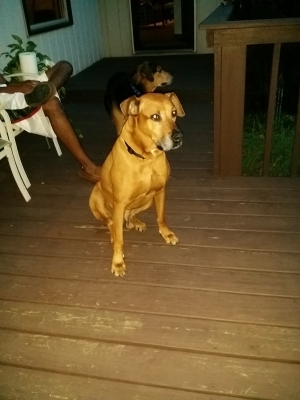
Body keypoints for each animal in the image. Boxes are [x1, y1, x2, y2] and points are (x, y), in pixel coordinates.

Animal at [89, 92, 184, 276]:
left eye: (174, 113)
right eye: (155, 117)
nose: (179, 137)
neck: (147, 159)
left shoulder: (160, 191)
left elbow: (161, 217)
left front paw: (166, 234)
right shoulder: (119, 203)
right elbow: (120, 239)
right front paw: (118, 262)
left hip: (147, 200)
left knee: (130, 214)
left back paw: (136, 222)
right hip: (96, 196)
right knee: (111, 222)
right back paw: (114, 233)